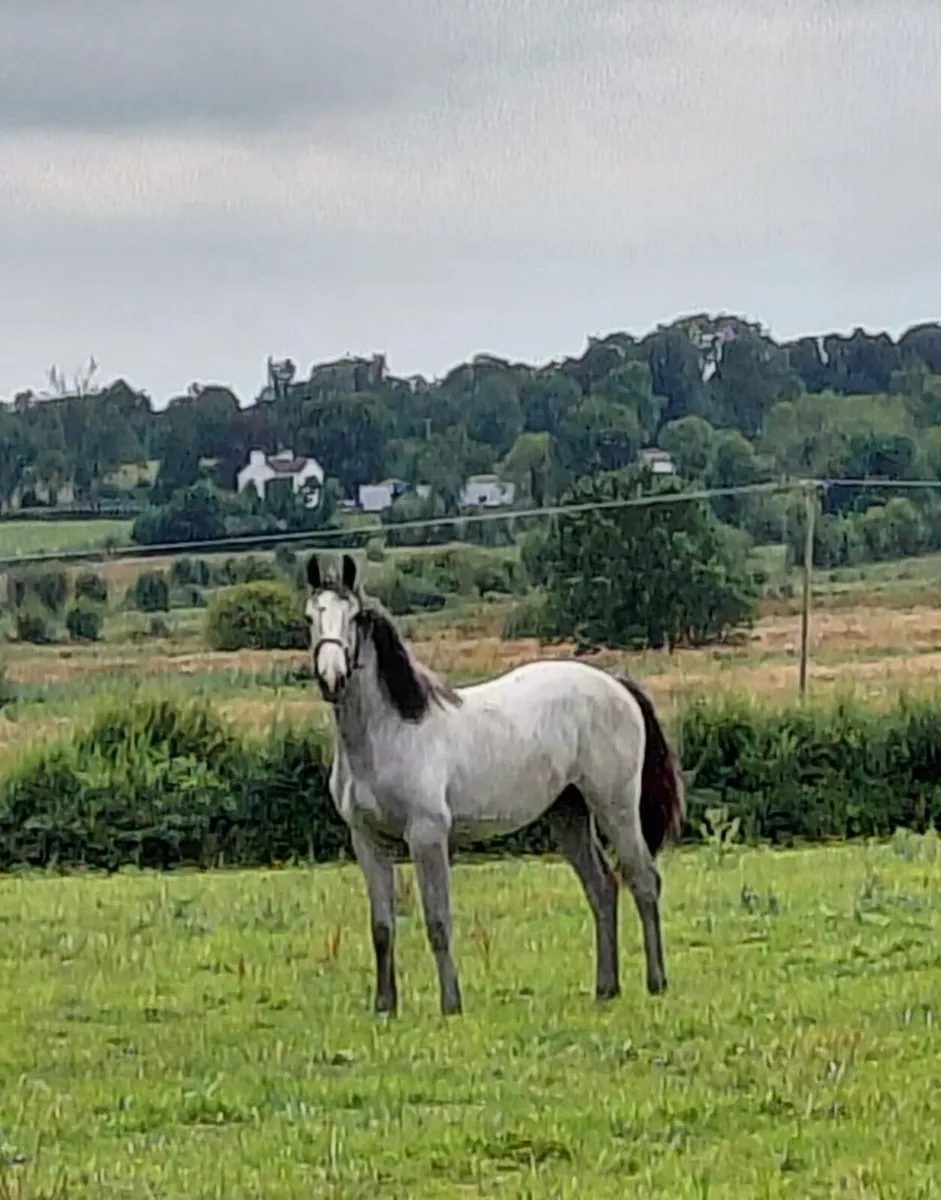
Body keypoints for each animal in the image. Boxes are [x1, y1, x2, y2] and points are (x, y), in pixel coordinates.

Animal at [305, 552, 685, 1016]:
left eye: (355, 617)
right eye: (309, 616)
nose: (332, 678)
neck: (390, 733)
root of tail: (618, 686)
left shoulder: (427, 836)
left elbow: (437, 921)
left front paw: (451, 1005)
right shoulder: (367, 842)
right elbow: (382, 927)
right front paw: (384, 1007)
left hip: (616, 807)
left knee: (643, 881)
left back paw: (657, 982)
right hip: (569, 814)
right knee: (603, 888)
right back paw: (606, 988)